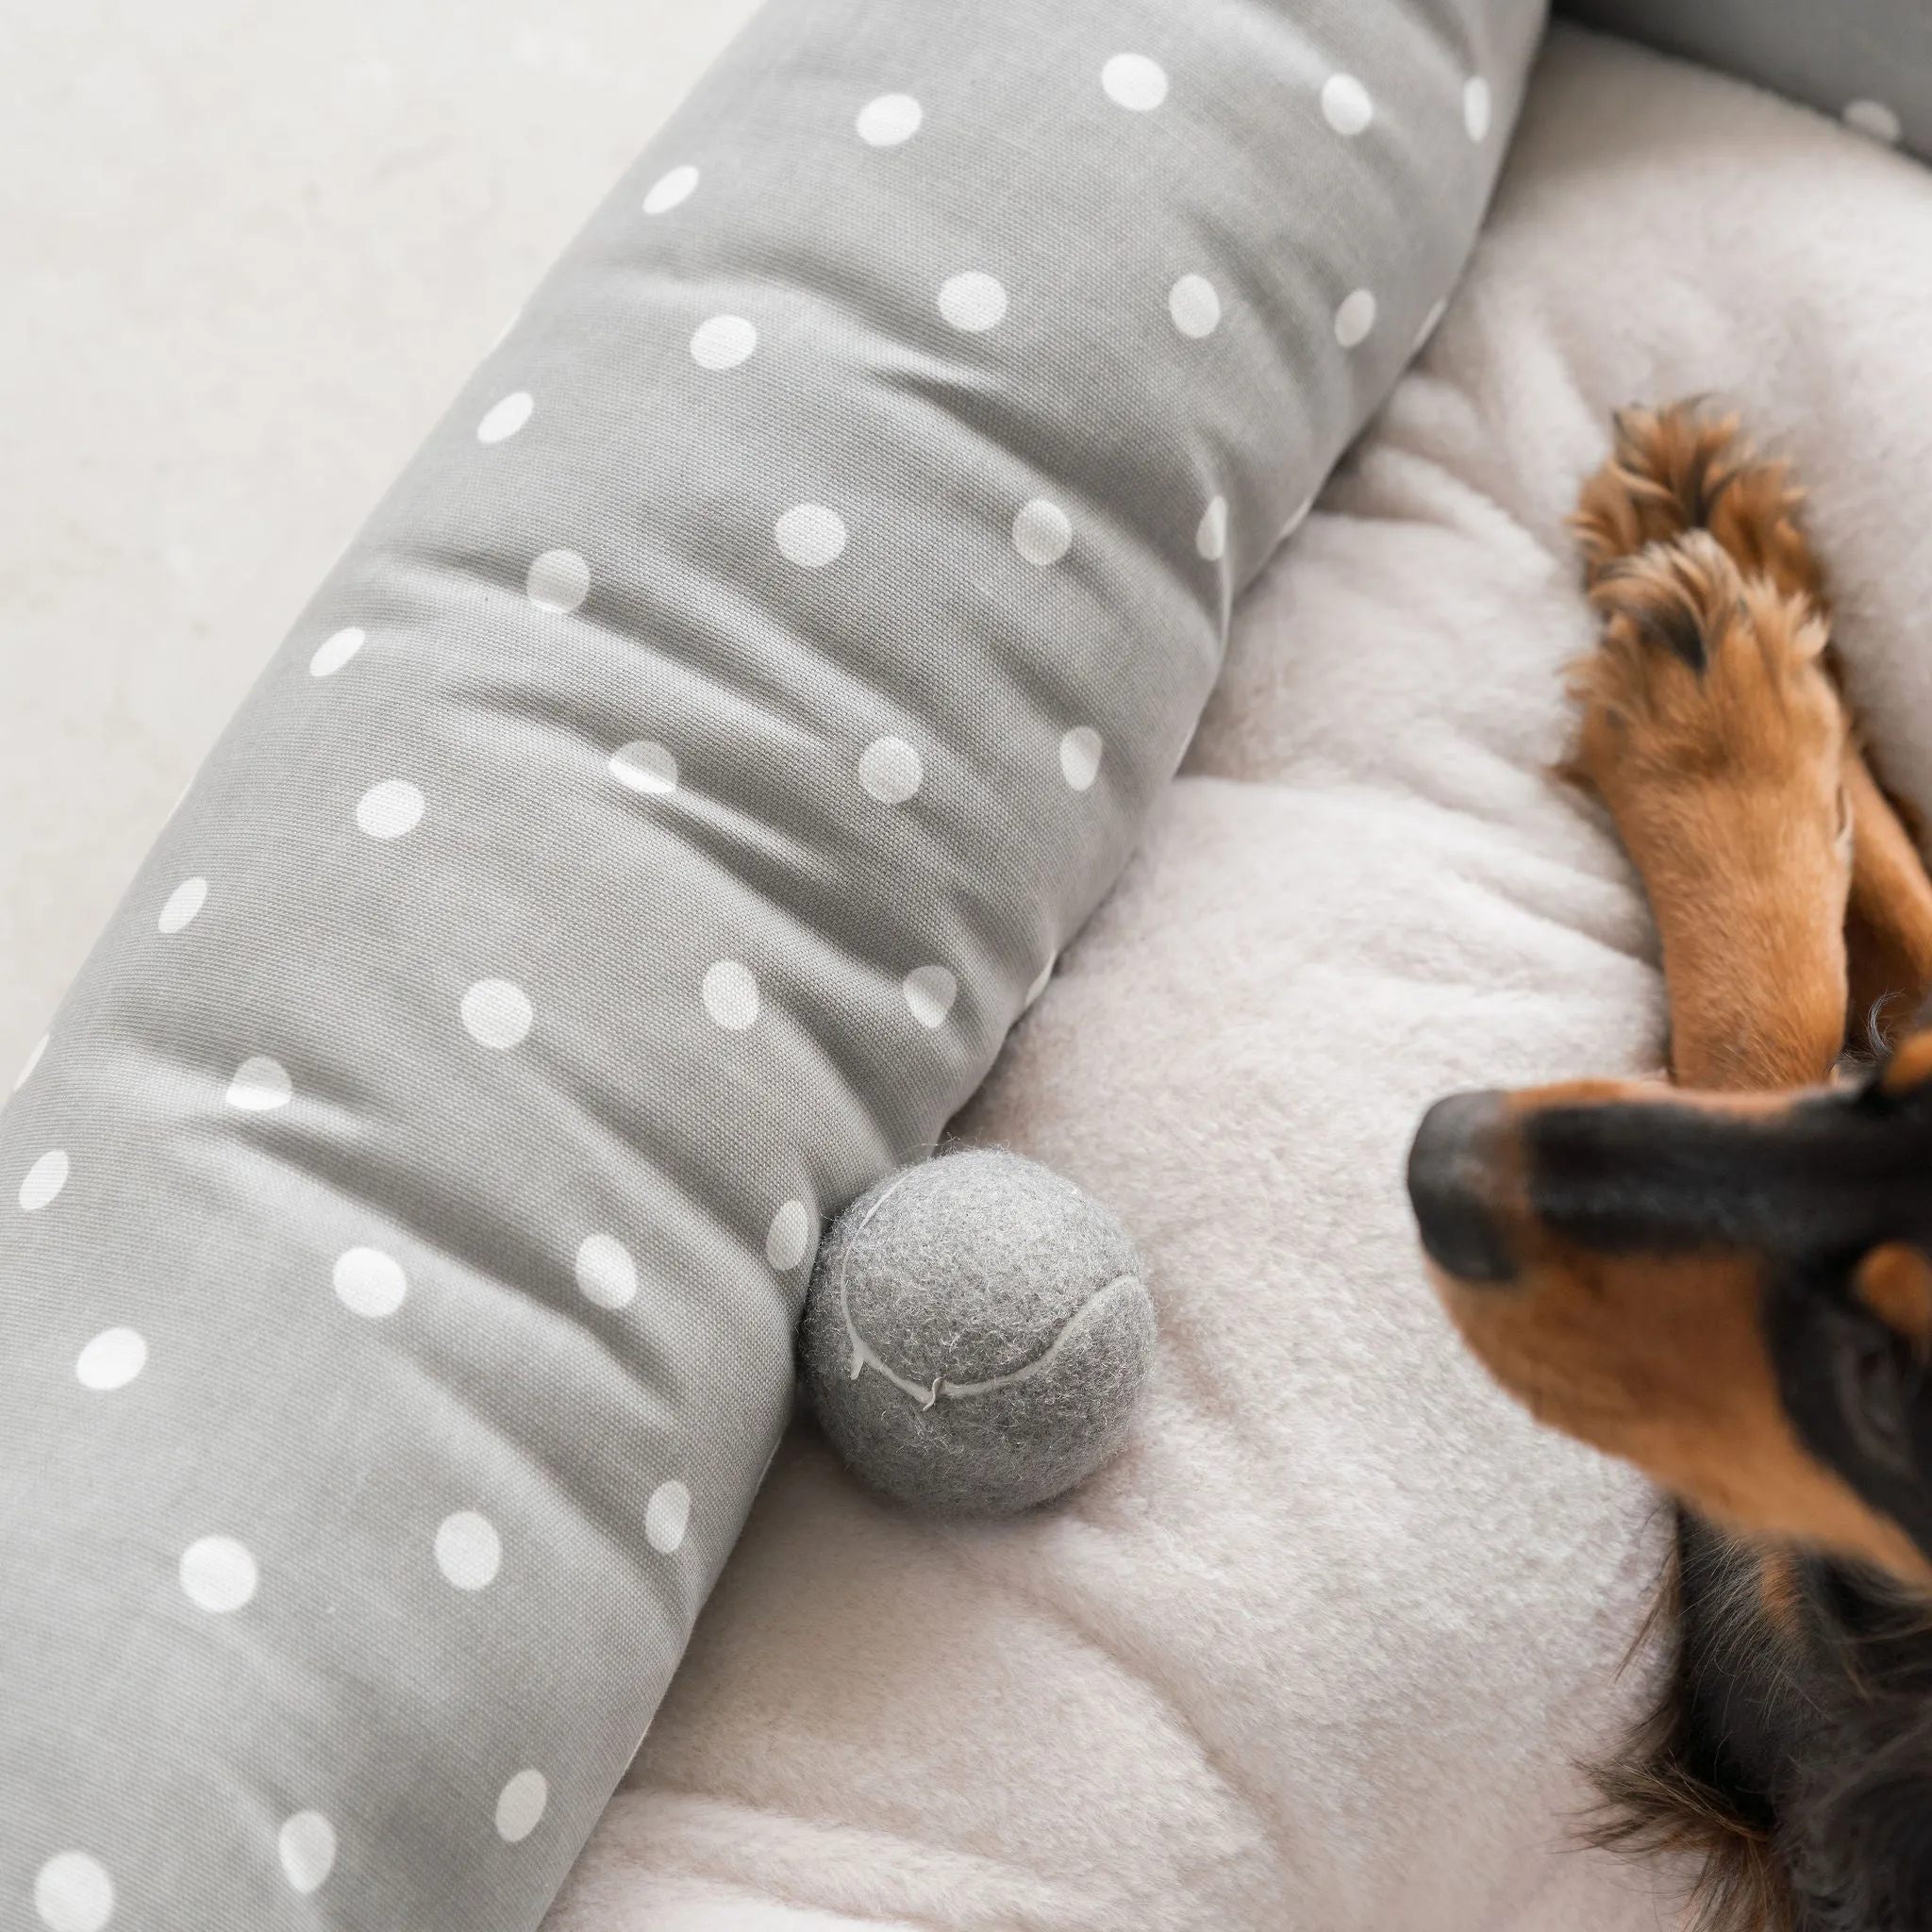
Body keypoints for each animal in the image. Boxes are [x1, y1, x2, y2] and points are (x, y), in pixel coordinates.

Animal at [1414, 399, 1932, 1924]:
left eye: (1885, 1387)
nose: (1437, 1151)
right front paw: (1739, 567)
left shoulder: (1794, 1669)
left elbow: (1768, 1032)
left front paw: (1716, 720)